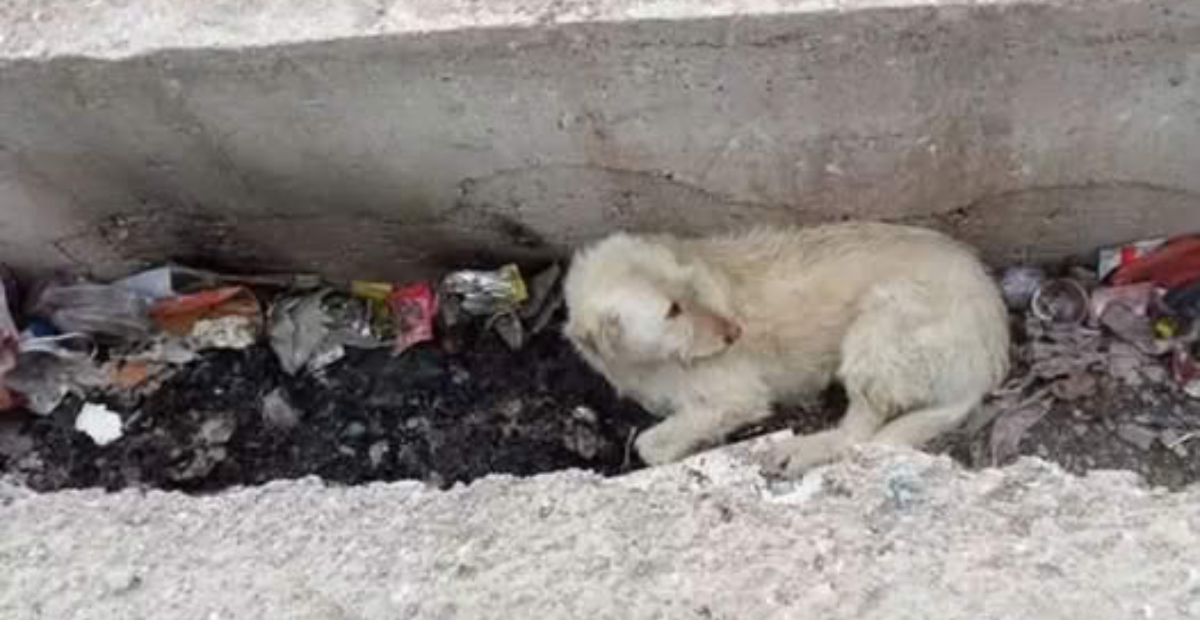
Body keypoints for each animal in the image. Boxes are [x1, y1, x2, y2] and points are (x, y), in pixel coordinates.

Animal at [559, 221, 1003, 473]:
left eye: (690, 286)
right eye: (672, 311)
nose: (734, 333)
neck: (651, 364)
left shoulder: (737, 397)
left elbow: (648, 445)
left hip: (880, 331)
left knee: (858, 432)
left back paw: (805, 449)